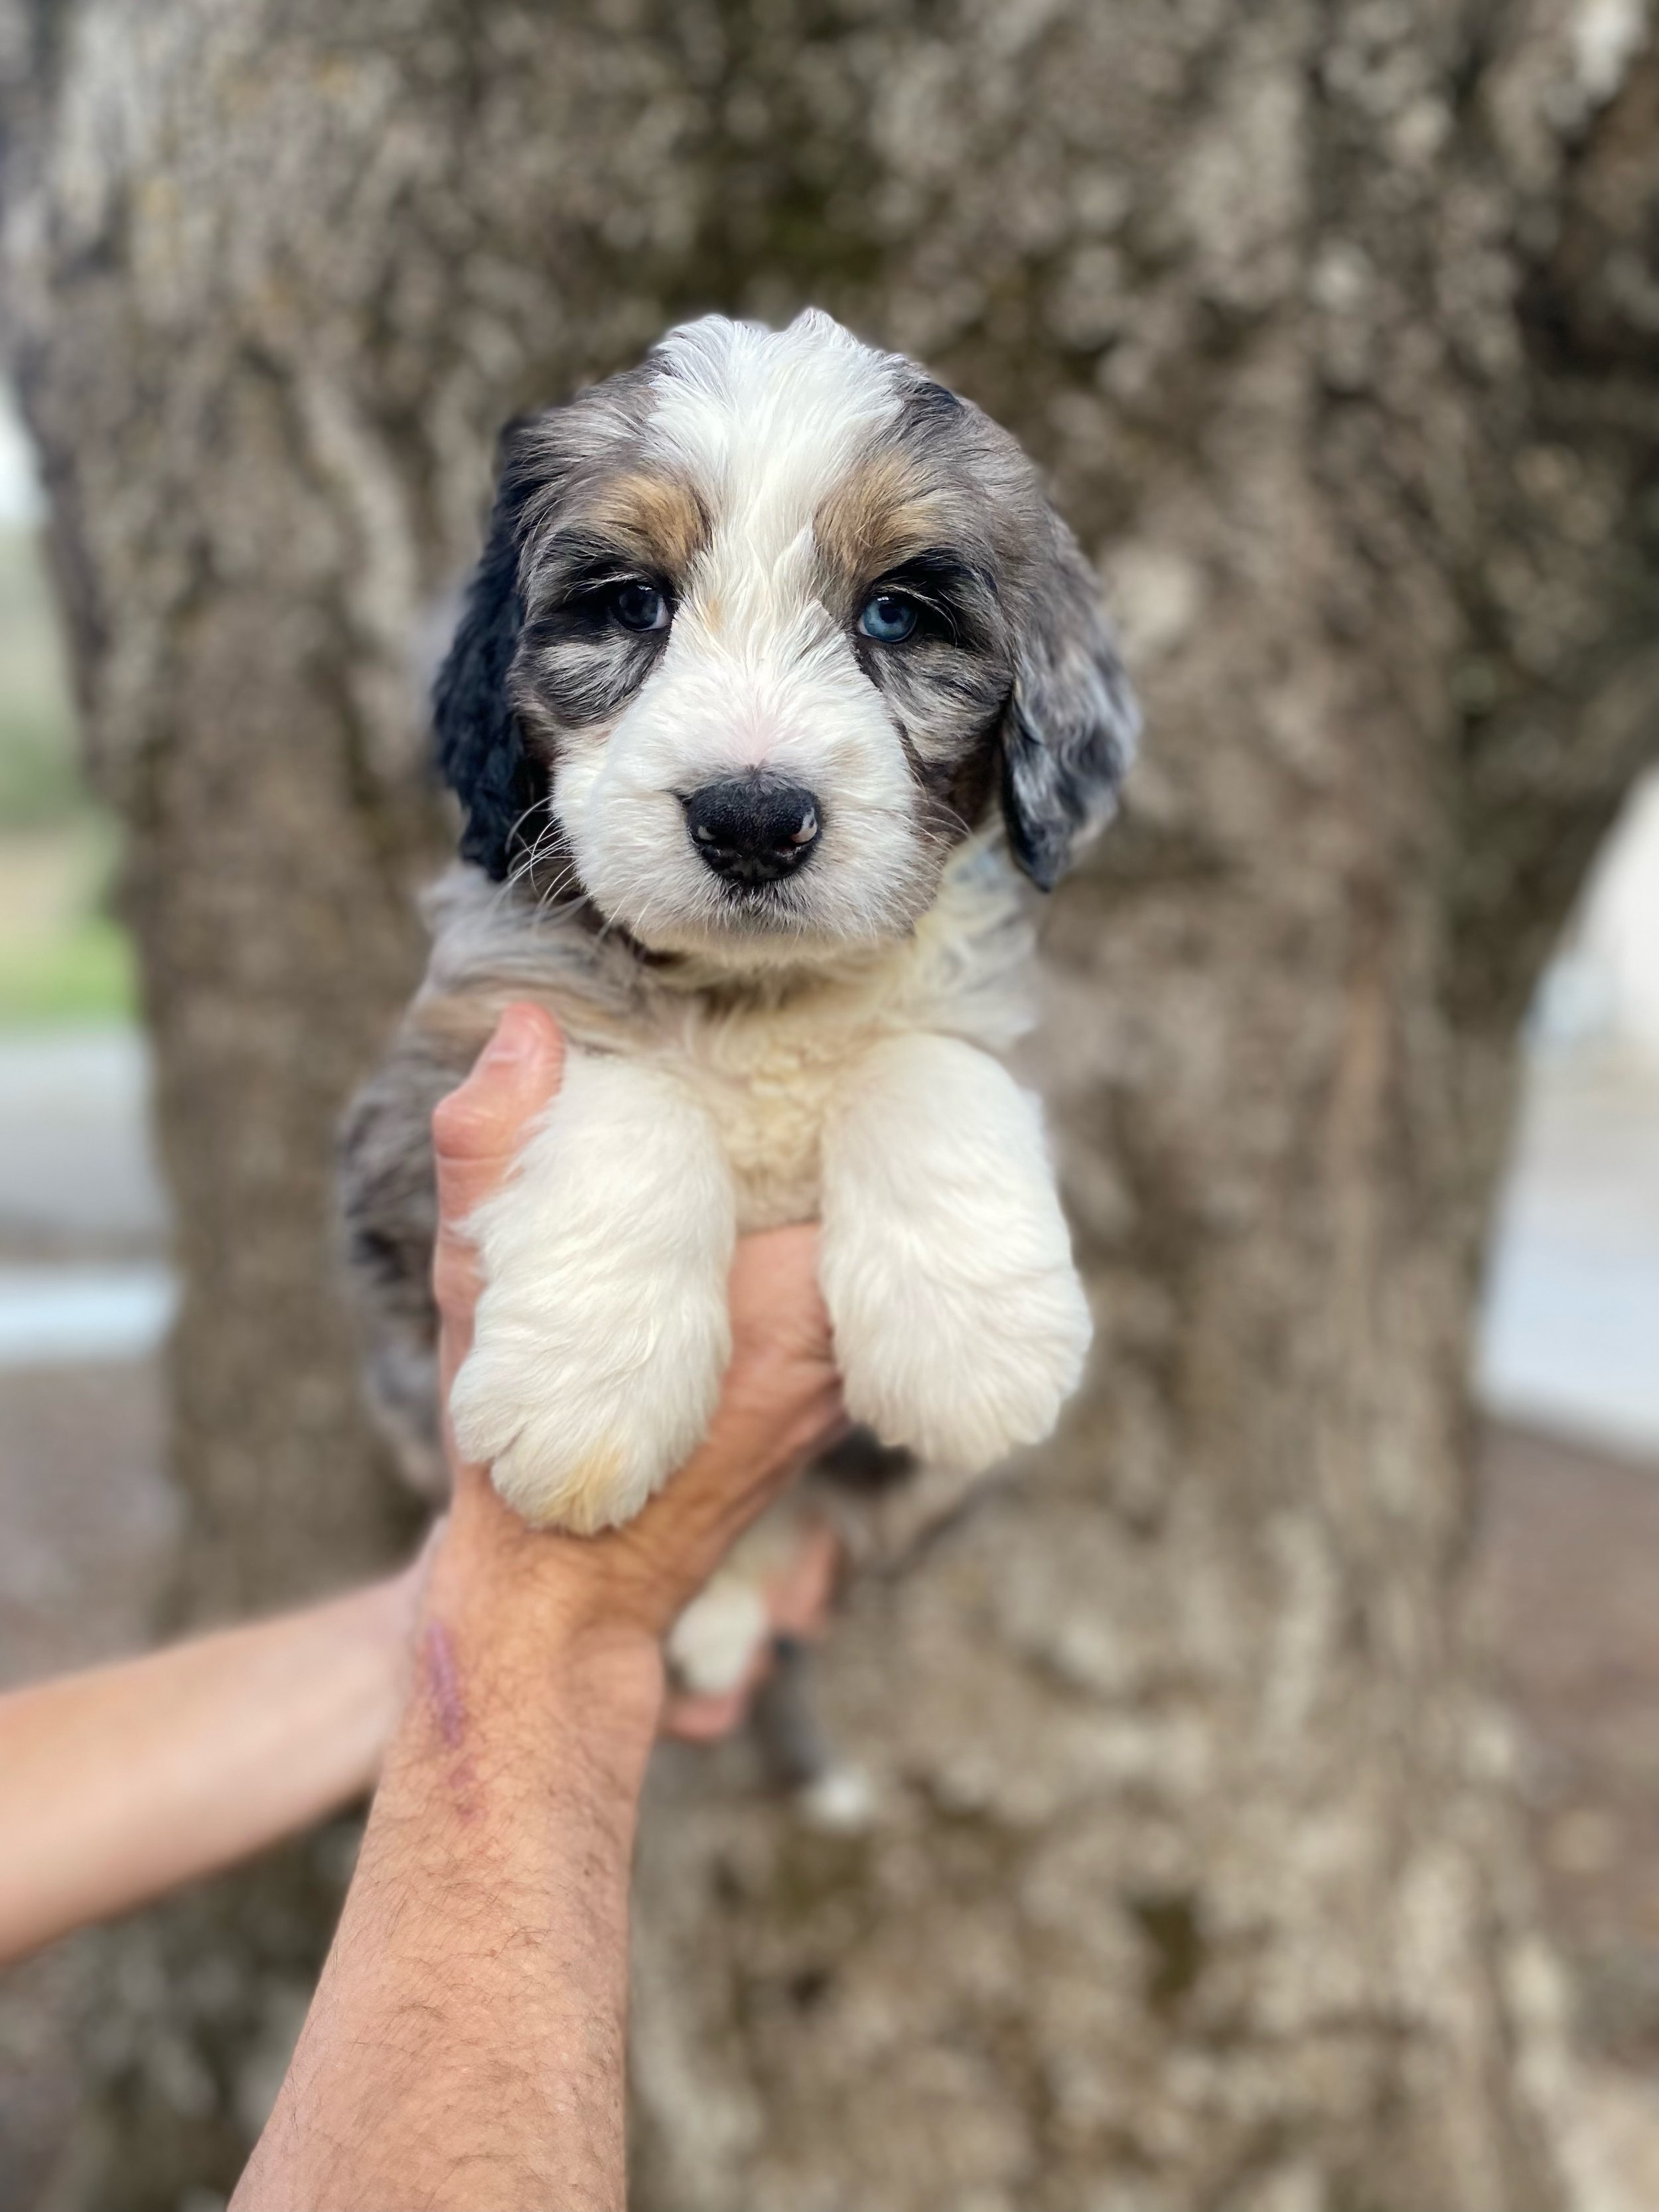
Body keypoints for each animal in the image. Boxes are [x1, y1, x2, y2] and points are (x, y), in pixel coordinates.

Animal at [342, 307, 1141, 1690]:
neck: (757, 998)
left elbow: (930, 1063)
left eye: (895, 613)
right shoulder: (434, 1087)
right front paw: (586, 1394)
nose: (754, 820)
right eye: (632, 603)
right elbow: (626, 1089)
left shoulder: (990, 1013)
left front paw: (971, 1346)